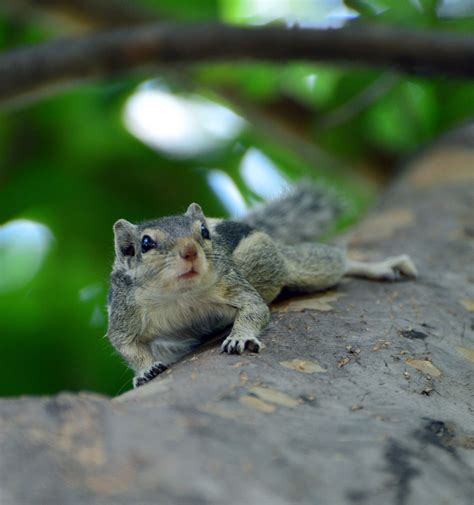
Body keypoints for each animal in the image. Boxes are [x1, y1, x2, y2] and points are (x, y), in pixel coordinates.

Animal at [105, 185, 416, 386]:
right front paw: (146, 371)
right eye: (146, 243)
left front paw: (240, 337)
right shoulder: (124, 313)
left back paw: (379, 266)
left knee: (331, 262)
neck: (181, 294)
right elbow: (127, 346)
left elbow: (254, 309)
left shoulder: (231, 283)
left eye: (203, 232)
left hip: (291, 266)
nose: (190, 252)